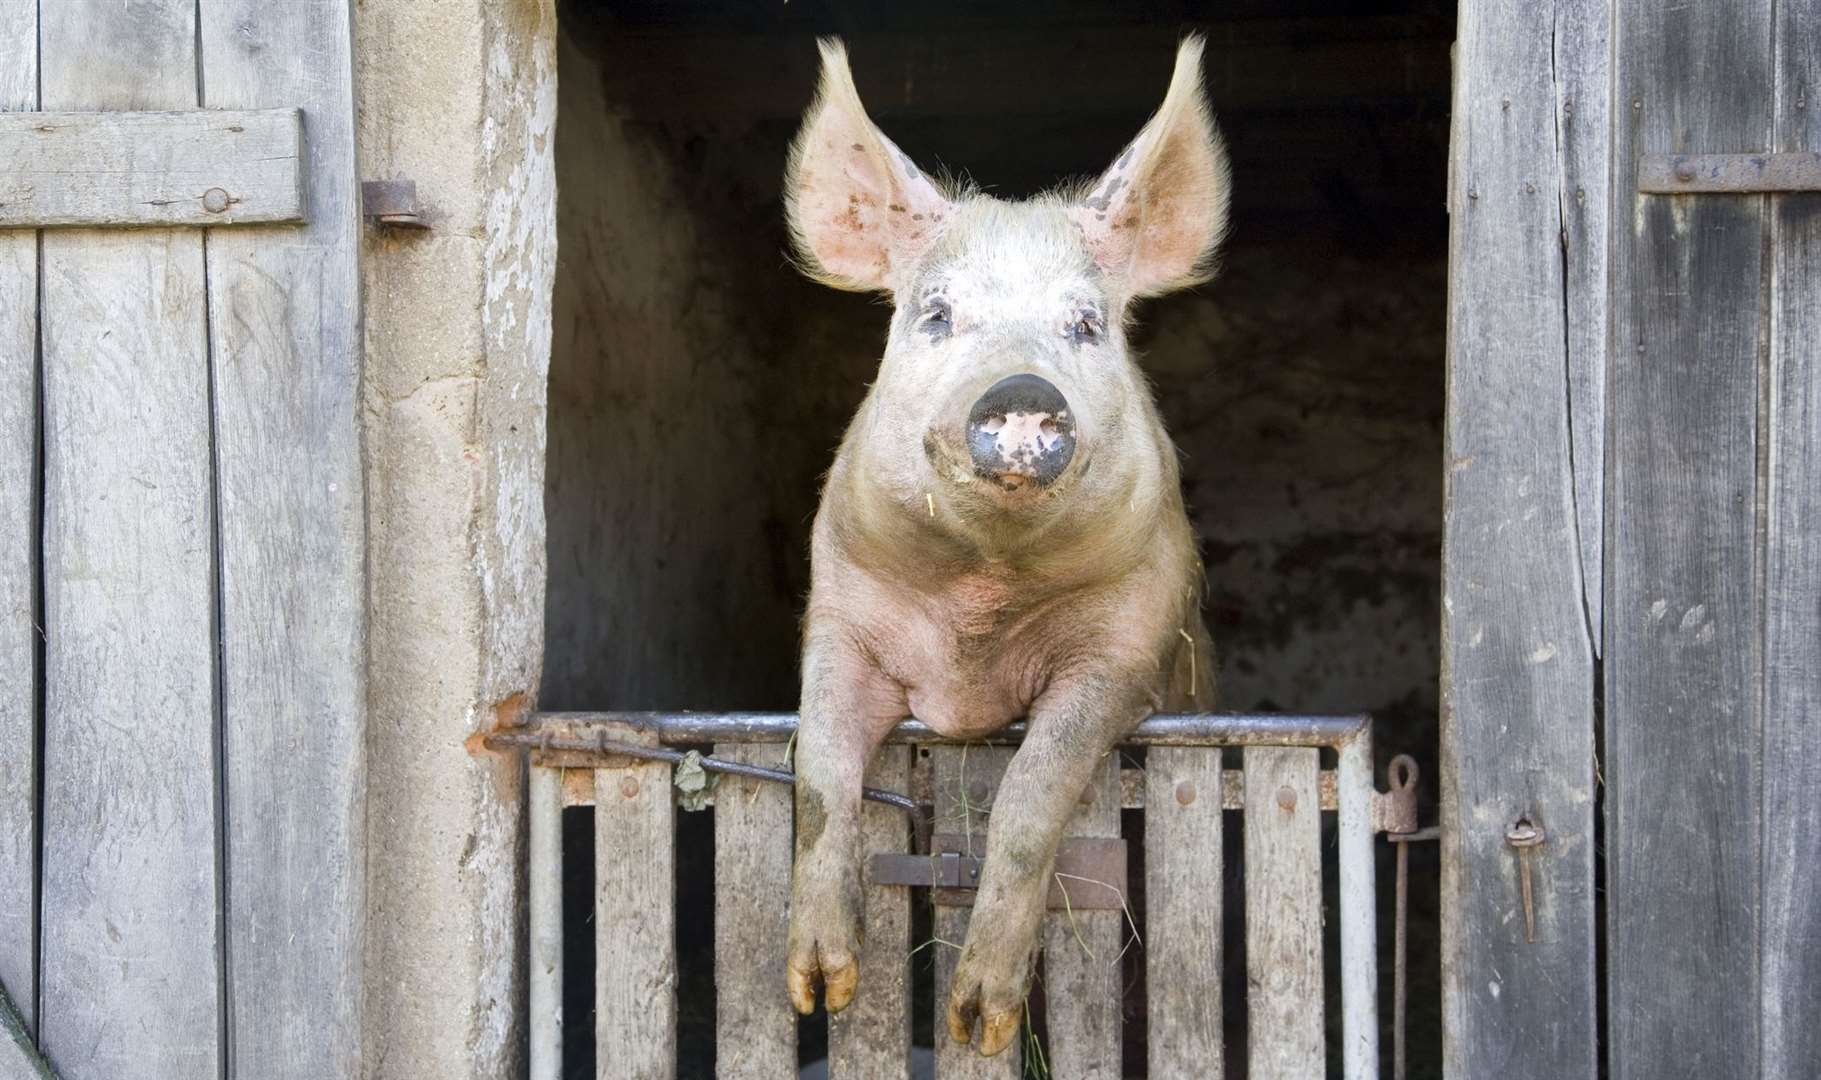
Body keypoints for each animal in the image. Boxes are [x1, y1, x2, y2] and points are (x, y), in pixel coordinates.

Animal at [783, 35, 1223, 1063]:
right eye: (937, 314)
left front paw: (978, 1023)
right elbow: (818, 773)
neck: (977, 607)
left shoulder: (1126, 653)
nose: (1023, 391)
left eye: (1086, 324)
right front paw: (820, 990)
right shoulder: (839, 618)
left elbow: (1029, 795)